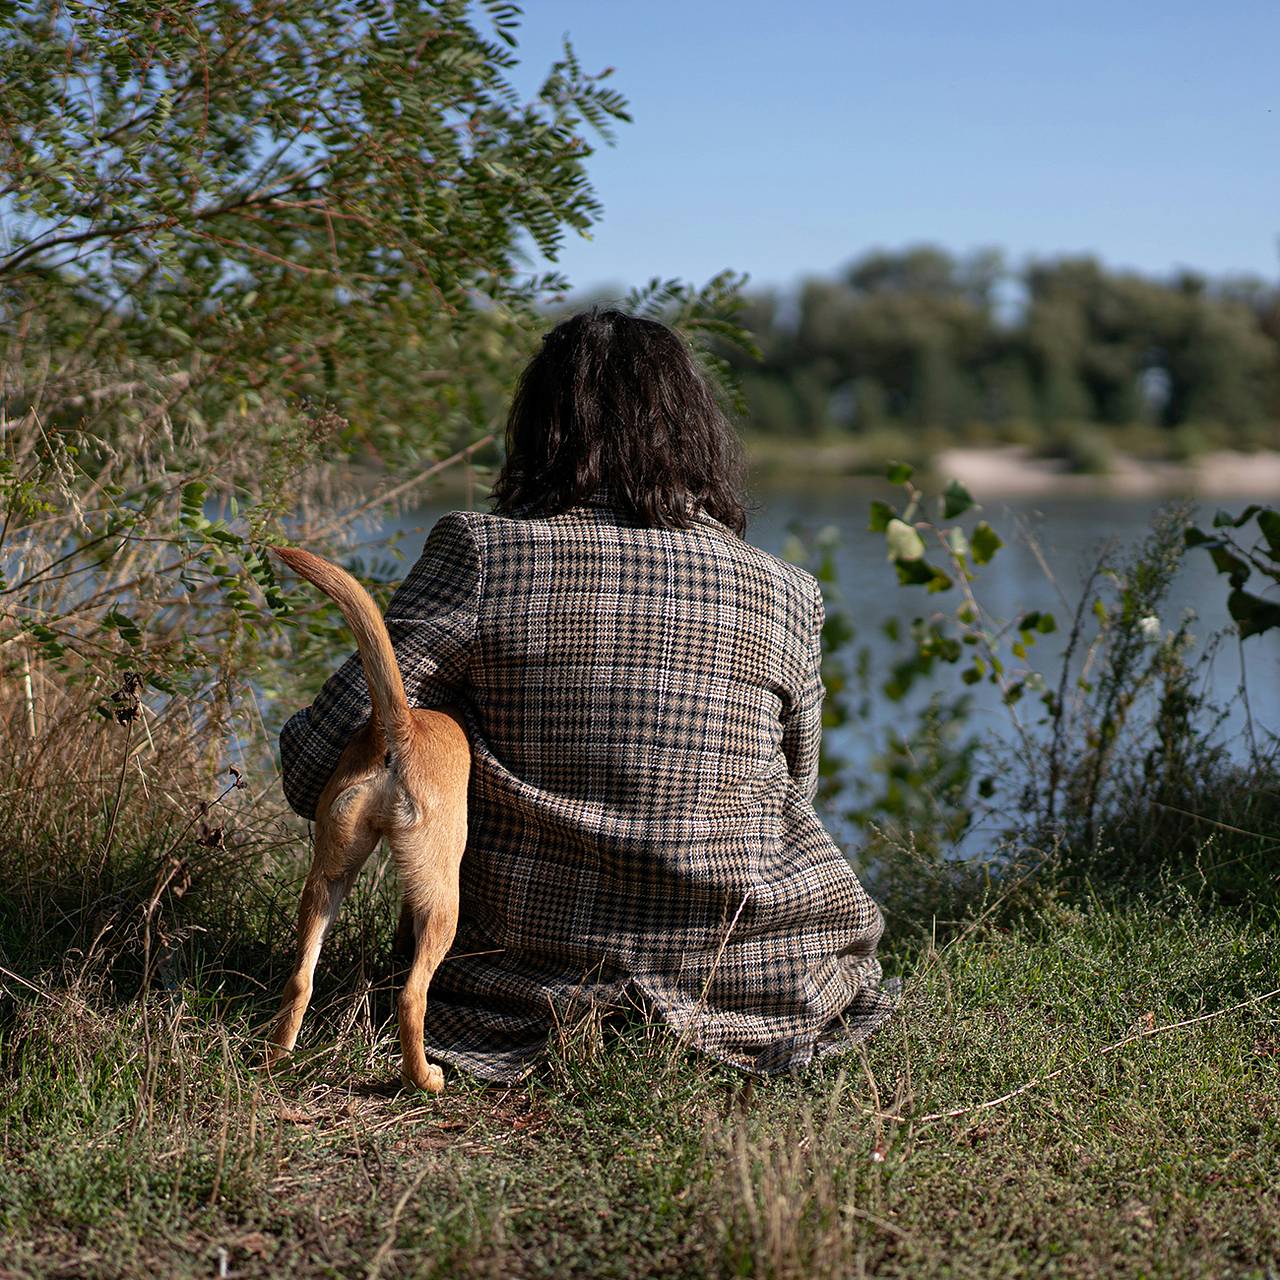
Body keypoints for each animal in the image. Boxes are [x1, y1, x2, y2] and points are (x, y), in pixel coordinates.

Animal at [264, 547, 471, 1090]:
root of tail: (398, 725)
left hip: (328, 875)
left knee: (300, 979)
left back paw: (276, 1057)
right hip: (442, 901)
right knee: (411, 997)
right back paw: (424, 1079)